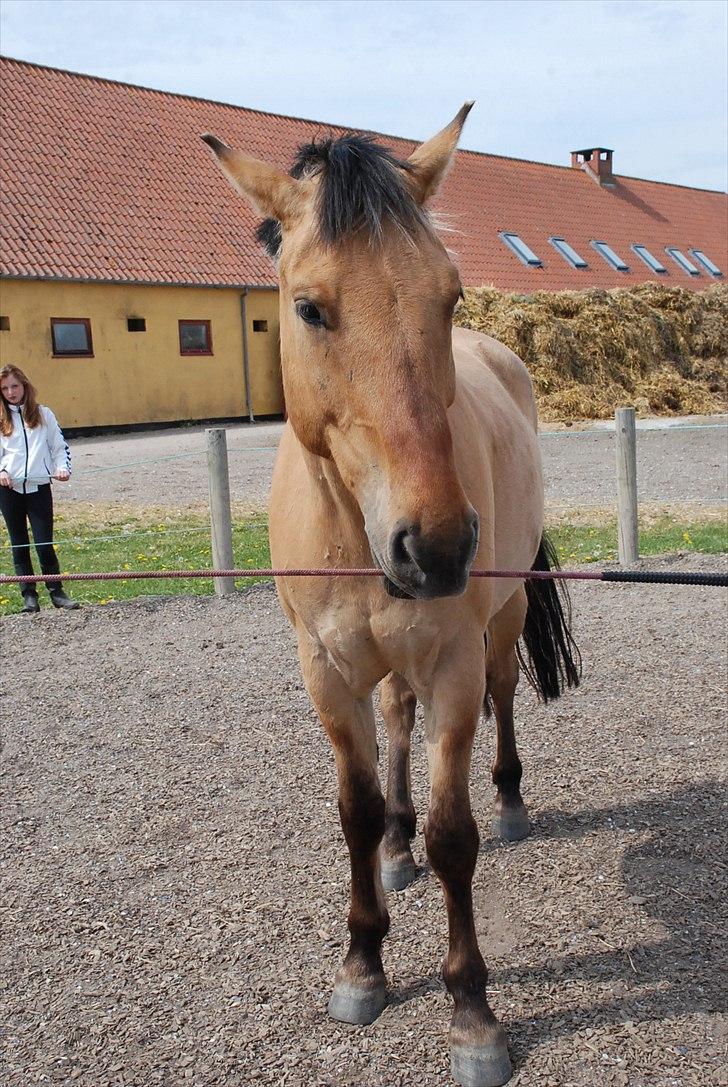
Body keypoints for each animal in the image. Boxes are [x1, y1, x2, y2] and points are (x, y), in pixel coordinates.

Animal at [204, 103, 582, 1087]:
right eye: (308, 307)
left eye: (448, 297)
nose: (438, 546)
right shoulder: (327, 674)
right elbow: (357, 811)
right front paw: (363, 962)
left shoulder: (451, 662)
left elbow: (459, 835)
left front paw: (472, 1010)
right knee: (397, 723)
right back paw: (400, 846)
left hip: (501, 621)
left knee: (501, 696)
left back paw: (512, 801)